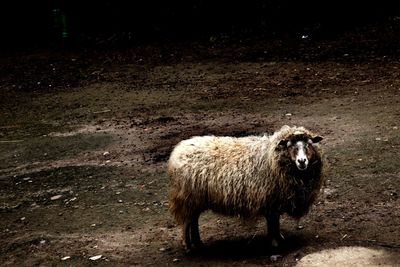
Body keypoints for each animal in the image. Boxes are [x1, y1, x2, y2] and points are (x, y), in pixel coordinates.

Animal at [167, 125, 324, 251]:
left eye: (309, 144)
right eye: (290, 145)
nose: (302, 161)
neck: (272, 158)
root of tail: (177, 151)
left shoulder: (274, 202)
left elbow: (276, 223)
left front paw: (279, 237)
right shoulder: (270, 201)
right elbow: (273, 223)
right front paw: (275, 243)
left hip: (196, 200)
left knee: (193, 220)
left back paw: (198, 243)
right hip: (187, 198)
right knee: (187, 222)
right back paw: (188, 246)